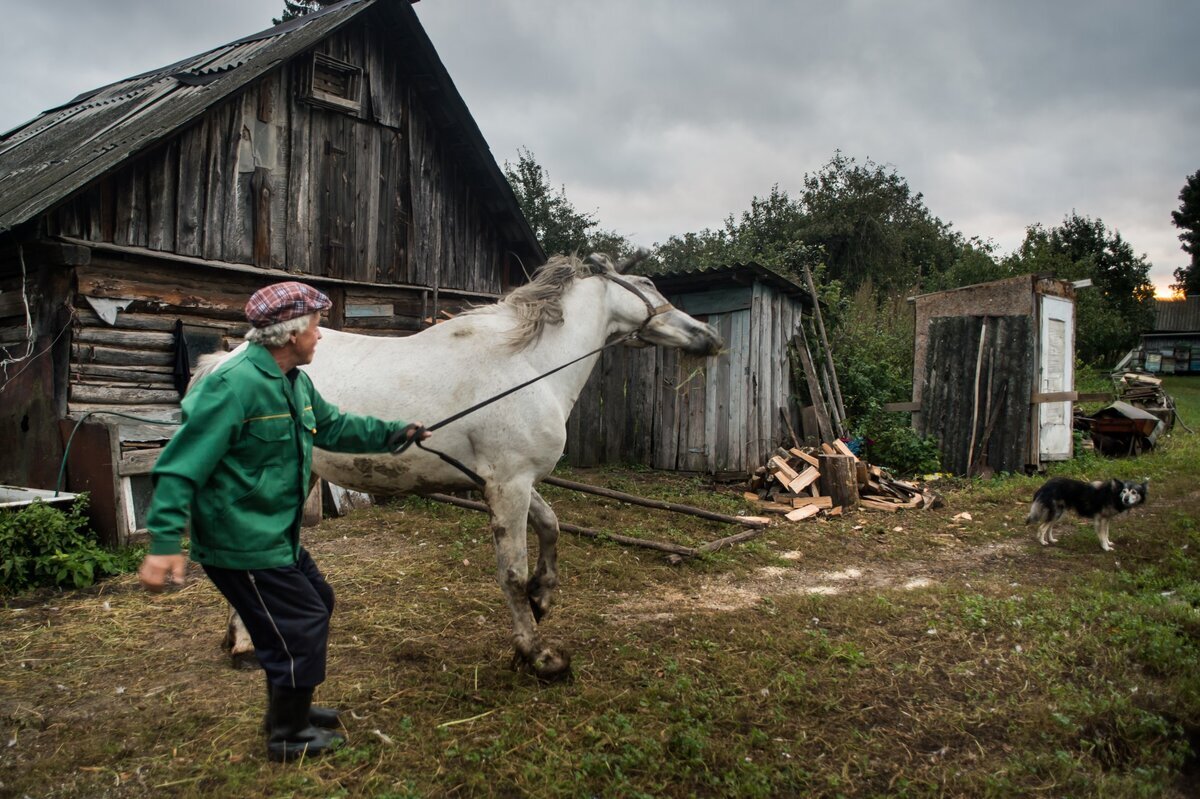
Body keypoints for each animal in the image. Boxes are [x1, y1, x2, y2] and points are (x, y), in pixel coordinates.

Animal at [216, 251, 720, 676]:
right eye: (648, 282)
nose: (709, 337)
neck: (527, 366)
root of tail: (230, 356)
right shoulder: (509, 485)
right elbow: (512, 573)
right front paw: (537, 653)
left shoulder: (511, 481)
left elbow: (552, 525)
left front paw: (542, 597)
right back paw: (247, 644)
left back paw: (244, 643)